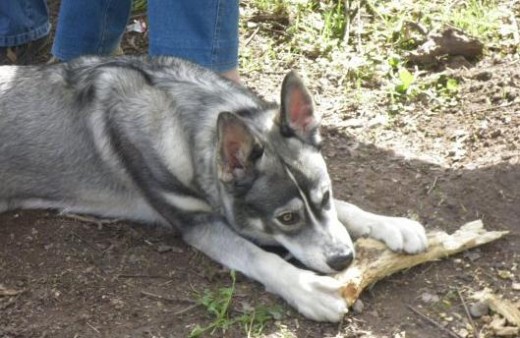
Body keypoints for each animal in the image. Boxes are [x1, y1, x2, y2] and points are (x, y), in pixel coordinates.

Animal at [0, 56, 426, 324]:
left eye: (326, 196)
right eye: (286, 219)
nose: (343, 260)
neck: (183, 119)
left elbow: (348, 211)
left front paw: (392, 225)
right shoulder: (197, 224)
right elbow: (260, 257)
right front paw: (308, 289)